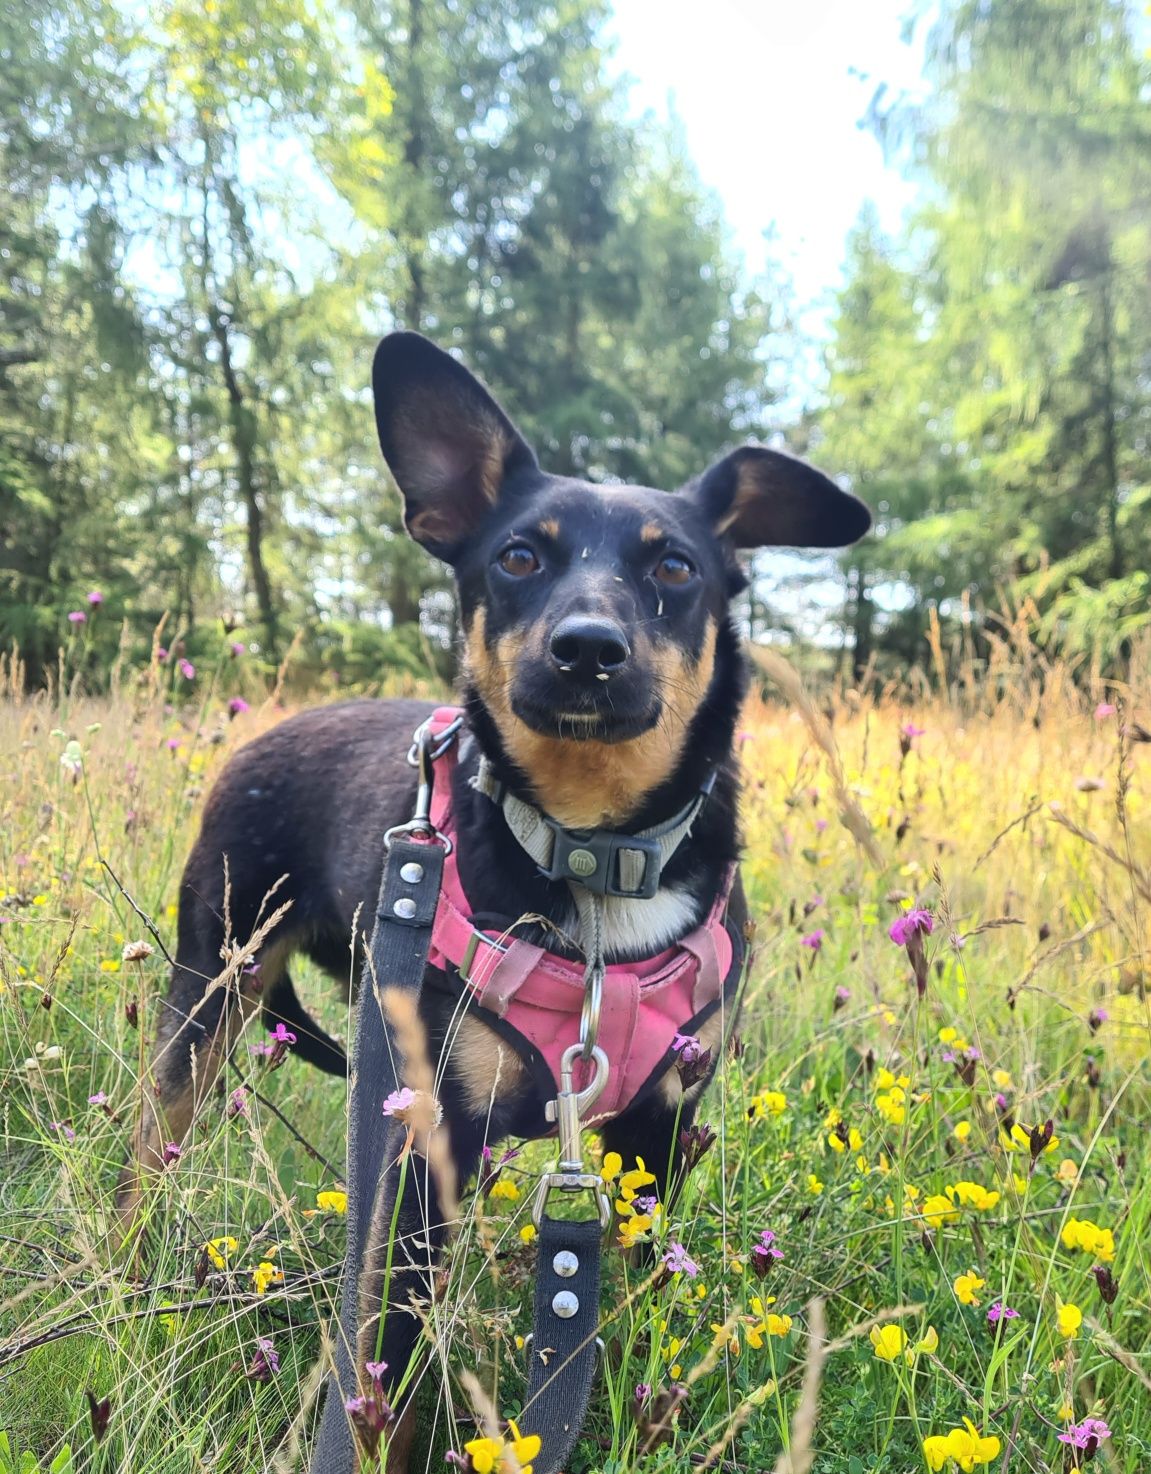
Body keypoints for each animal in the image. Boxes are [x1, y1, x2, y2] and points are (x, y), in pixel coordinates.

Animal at [118, 328, 872, 1468]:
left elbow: (622, 1302)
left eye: (673, 566)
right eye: (518, 556)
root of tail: (254, 740)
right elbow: (381, 1365)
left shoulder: (653, 1130)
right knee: (147, 1147)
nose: (588, 648)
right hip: (209, 988)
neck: (593, 854)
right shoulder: (425, 1145)